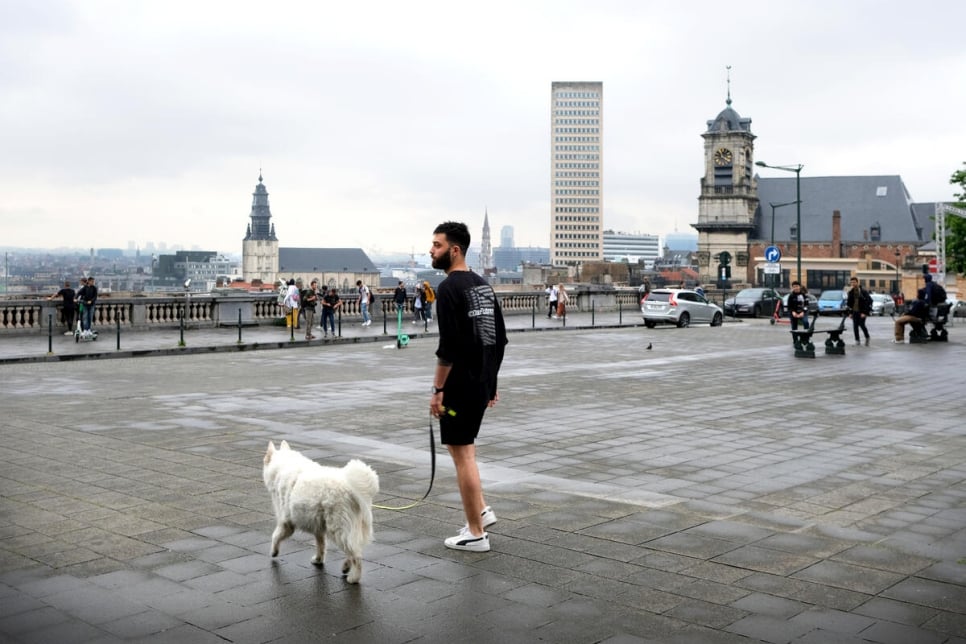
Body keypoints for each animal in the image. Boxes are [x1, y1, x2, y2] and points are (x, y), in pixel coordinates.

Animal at [262, 442, 380, 584]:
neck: (282, 467)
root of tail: (352, 489)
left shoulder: (286, 523)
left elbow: (275, 536)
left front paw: (273, 552)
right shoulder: (318, 526)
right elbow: (321, 545)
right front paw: (318, 560)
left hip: (338, 528)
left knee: (356, 555)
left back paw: (353, 578)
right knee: (353, 550)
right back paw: (346, 567)